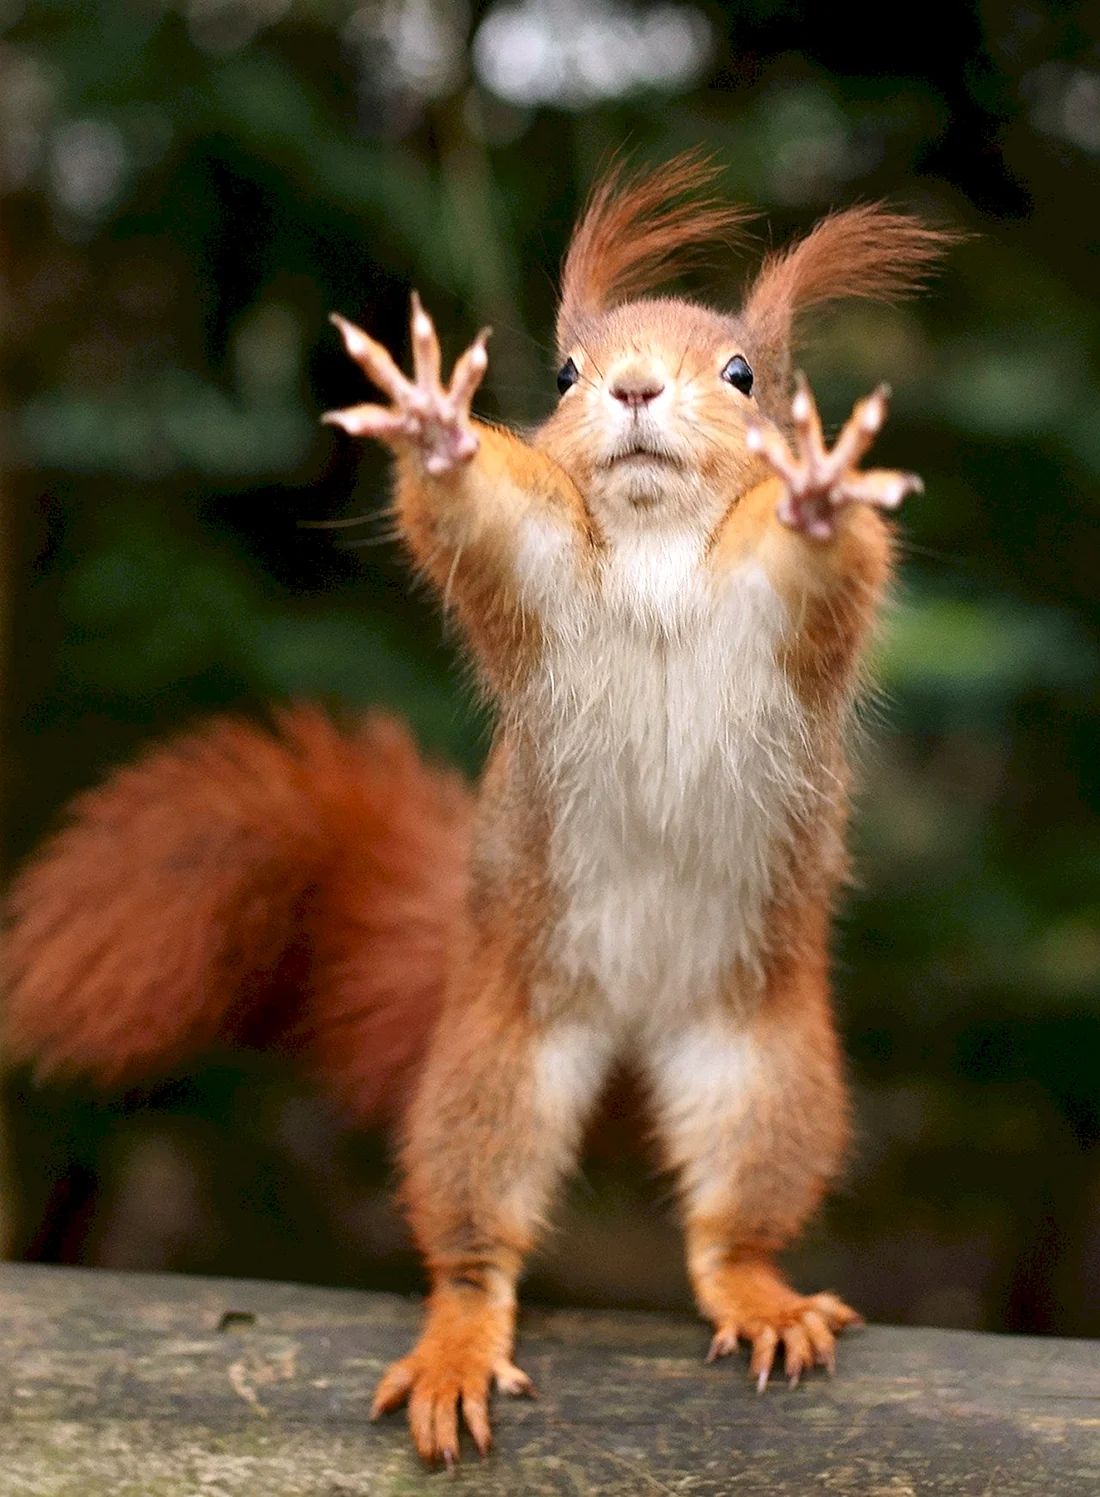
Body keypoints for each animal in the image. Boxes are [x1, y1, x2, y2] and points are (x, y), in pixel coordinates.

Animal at [4, 154, 955, 1466]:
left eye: (742, 376)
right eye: (562, 373)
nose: (633, 386)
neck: (655, 548)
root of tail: (633, 1025)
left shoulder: (788, 620)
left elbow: (826, 560)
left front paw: (817, 490)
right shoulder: (540, 575)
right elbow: (480, 518)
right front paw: (437, 431)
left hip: (763, 1067)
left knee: (730, 1226)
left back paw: (759, 1294)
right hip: (496, 1063)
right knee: (472, 1236)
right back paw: (458, 1338)